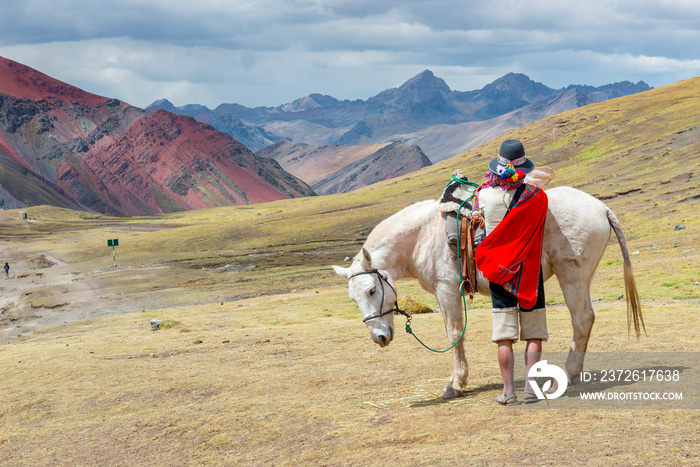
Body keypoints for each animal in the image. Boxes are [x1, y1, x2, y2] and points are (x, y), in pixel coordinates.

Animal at [330, 186, 644, 398]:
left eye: (372, 290)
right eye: (353, 299)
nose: (379, 337)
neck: (423, 236)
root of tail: (601, 207)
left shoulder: (446, 290)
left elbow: (454, 334)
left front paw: (455, 384)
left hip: (573, 276)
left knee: (582, 319)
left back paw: (566, 375)